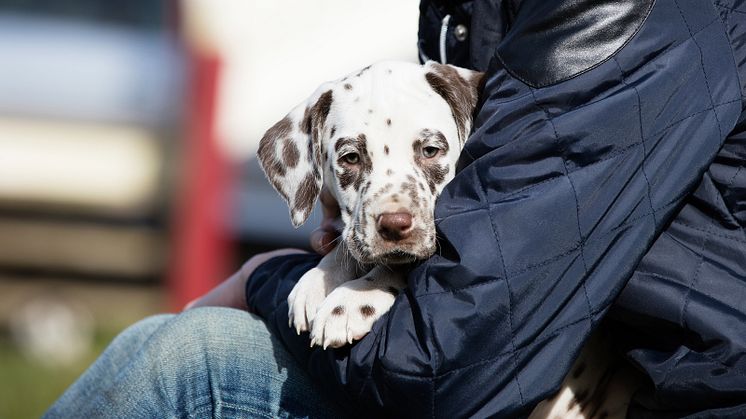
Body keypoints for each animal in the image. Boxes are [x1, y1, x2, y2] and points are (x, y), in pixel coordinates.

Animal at [256, 61, 480, 352]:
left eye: (430, 150)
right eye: (351, 157)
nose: (394, 225)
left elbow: (398, 266)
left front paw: (351, 300)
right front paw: (319, 278)